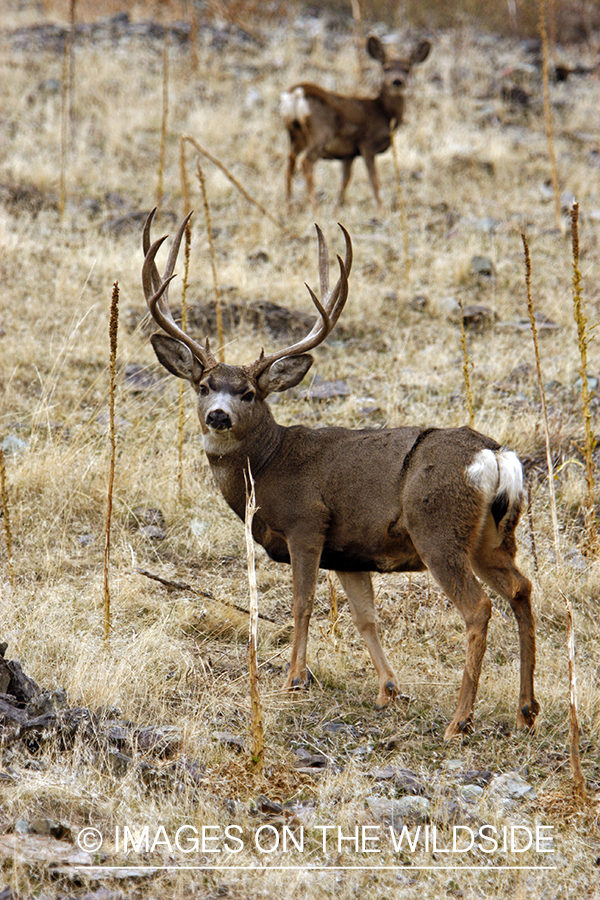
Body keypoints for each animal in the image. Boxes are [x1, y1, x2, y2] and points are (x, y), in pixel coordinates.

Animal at [142, 210, 539, 742]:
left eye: (248, 393)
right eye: (204, 386)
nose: (218, 416)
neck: (267, 465)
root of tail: (495, 456)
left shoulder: (307, 524)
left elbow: (302, 602)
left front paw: (294, 679)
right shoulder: (351, 552)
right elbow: (365, 617)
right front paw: (389, 689)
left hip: (438, 528)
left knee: (478, 607)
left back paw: (460, 719)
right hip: (493, 537)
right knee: (521, 589)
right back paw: (525, 710)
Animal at [280, 34, 431, 212]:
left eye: (407, 68)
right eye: (386, 68)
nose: (397, 81)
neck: (384, 113)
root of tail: (296, 93)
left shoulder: (348, 154)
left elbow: (346, 180)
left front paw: (337, 207)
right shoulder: (367, 144)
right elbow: (374, 179)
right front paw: (380, 208)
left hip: (295, 134)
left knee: (289, 165)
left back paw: (289, 206)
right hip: (320, 132)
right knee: (306, 162)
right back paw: (313, 206)